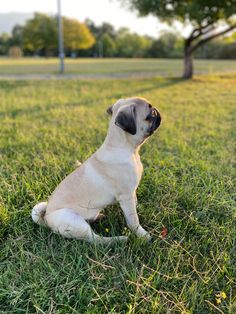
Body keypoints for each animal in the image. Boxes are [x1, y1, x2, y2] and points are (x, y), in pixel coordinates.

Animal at [32, 97, 161, 244]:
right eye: (150, 114)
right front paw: (143, 235)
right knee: (95, 240)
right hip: (74, 221)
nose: (157, 111)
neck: (128, 149)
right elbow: (133, 220)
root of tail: (46, 218)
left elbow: (135, 202)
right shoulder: (126, 196)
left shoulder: (131, 192)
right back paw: (118, 239)